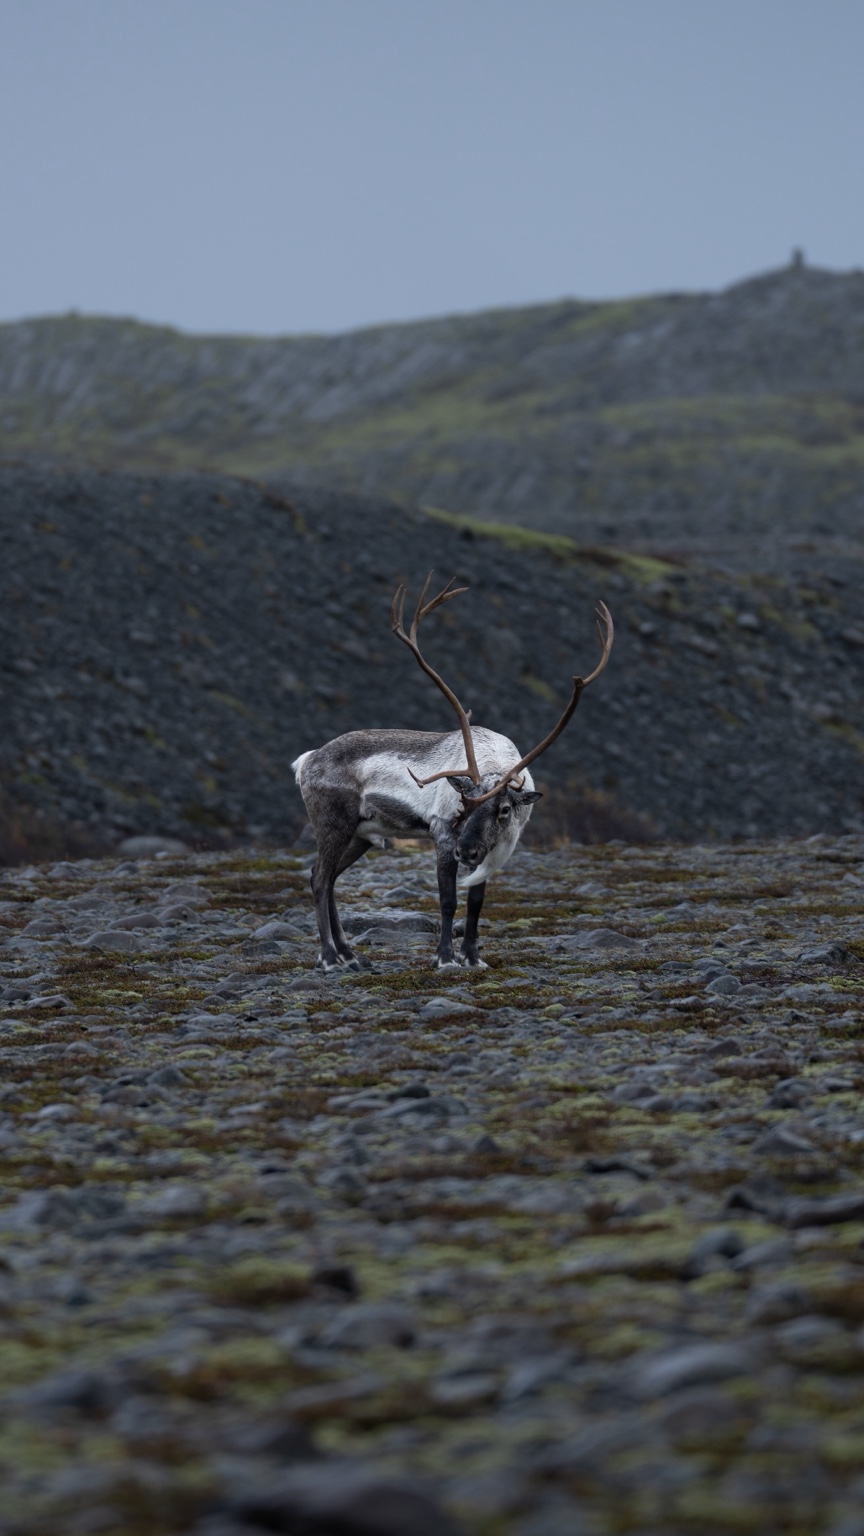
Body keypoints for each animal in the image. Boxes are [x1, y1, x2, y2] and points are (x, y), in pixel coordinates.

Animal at [292, 574, 613, 972]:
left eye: (503, 809)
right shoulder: (443, 836)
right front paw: (445, 957)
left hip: (361, 835)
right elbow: (448, 902)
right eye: (463, 802)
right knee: (320, 879)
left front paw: (473, 957)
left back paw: (350, 955)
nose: (467, 850)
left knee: (327, 878)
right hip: (333, 824)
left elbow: (475, 904)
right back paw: (329, 958)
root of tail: (307, 759)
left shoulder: (492, 850)